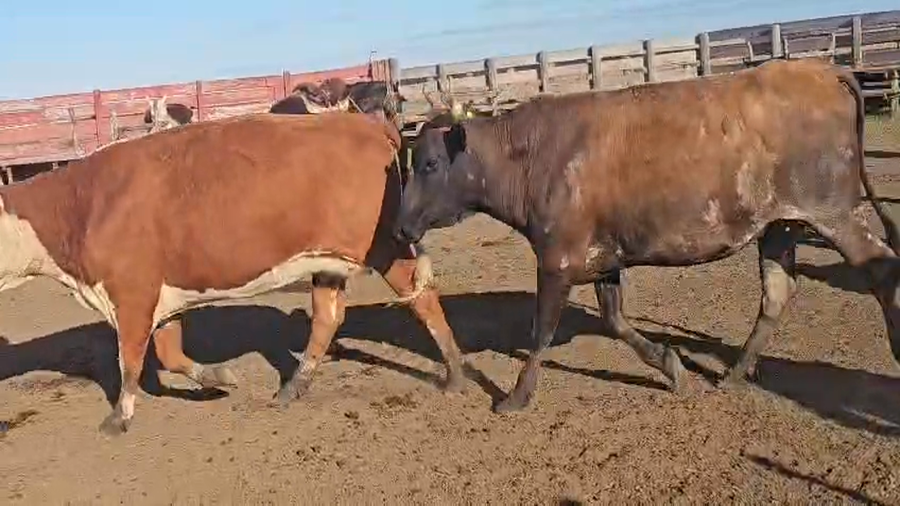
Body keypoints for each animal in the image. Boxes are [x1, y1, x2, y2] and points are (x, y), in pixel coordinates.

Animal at [0, 112, 468, 436]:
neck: (82, 206)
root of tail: (367, 124)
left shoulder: (132, 294)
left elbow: (129, 362)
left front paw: (119, 417)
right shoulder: (162, 296)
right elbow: (169, 355)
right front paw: (218, 378)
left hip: (386, 246)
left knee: (423, 298)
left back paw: (454, 373)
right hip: (327, 261)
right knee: (327, 318)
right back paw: (294, 385)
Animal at [393, 58, 900, 414]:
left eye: (430, 163)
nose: (401, 227)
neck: (534, 157)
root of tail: (824, 69)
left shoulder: (556, 260)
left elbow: (542, 332)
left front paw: (515, 398)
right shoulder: (603, 258)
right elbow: (615, 321)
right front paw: (672, 367)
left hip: (832, 212)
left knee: (883, 269)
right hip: (779, 225)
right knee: (776, 293)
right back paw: (735, 374)